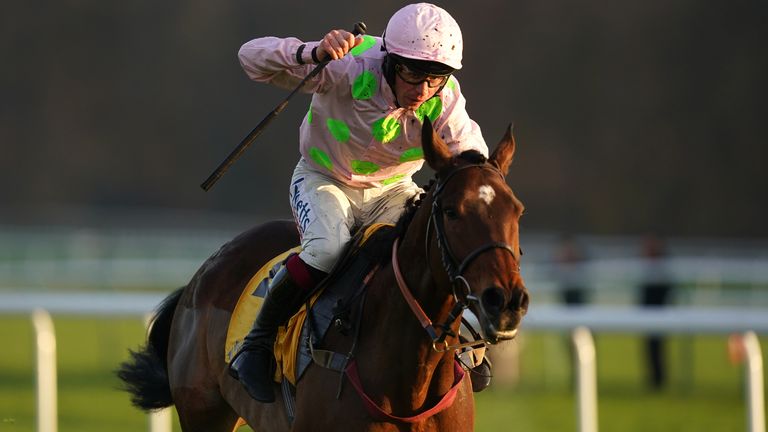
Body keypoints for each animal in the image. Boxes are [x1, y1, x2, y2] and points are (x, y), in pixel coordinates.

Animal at [118, 119, 528, 432]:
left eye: (517, 210)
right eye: (452, 211)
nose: (506, 301)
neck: (411, 379)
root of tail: (202, 274)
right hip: (204, 412)